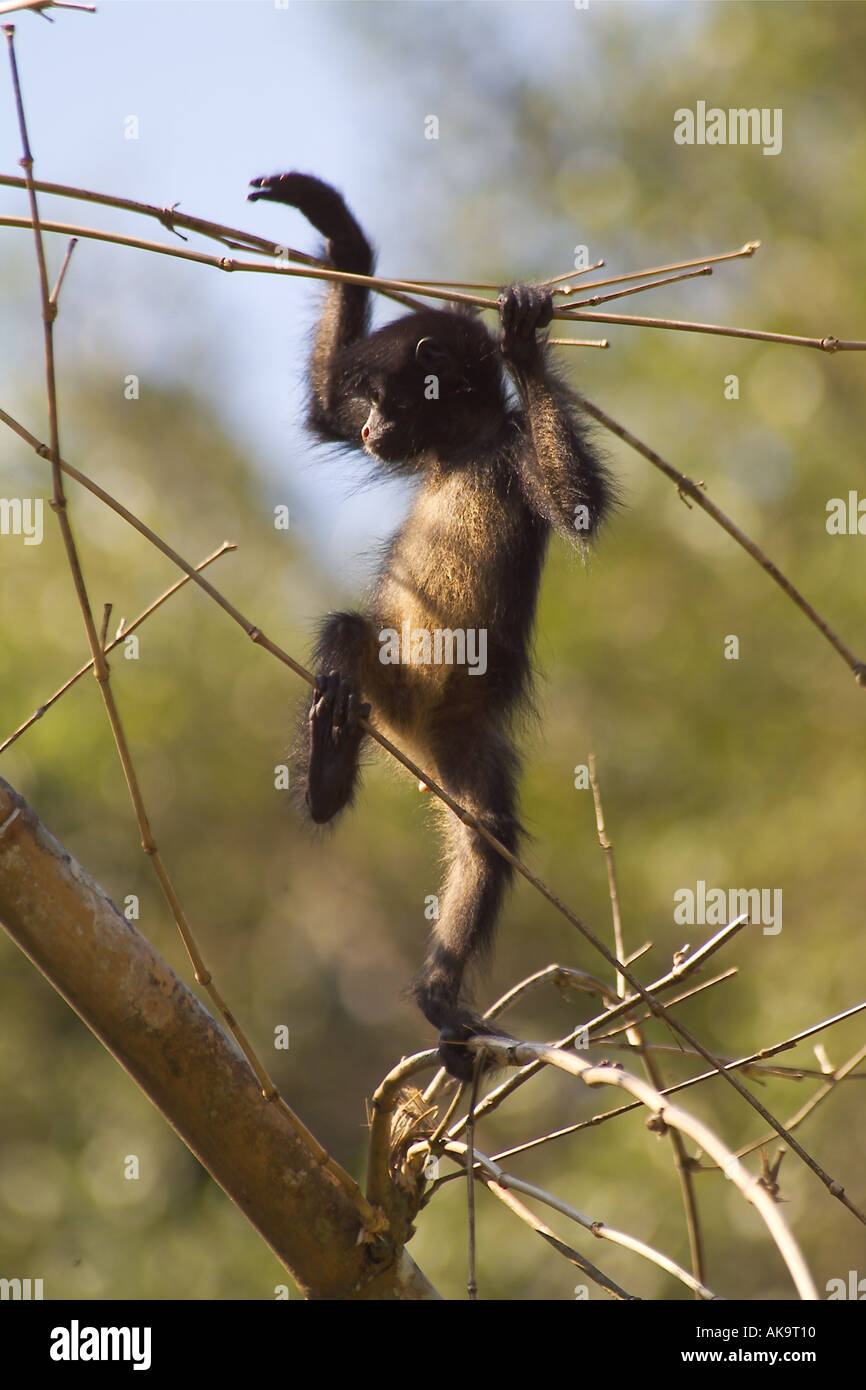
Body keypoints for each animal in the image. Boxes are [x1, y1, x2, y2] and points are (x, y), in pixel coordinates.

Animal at [249, 172, 612, 1080]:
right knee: (348, 632)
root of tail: (407, 724)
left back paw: (438, 999)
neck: (467, 446)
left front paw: (523, 344)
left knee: (486, 836)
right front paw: (337, 228)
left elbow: (578, 506)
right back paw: (328, 771)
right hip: (390, 678)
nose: (374, 430)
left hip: (461, 735)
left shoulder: (514, 448)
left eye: (386, 401)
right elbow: (319, 414)